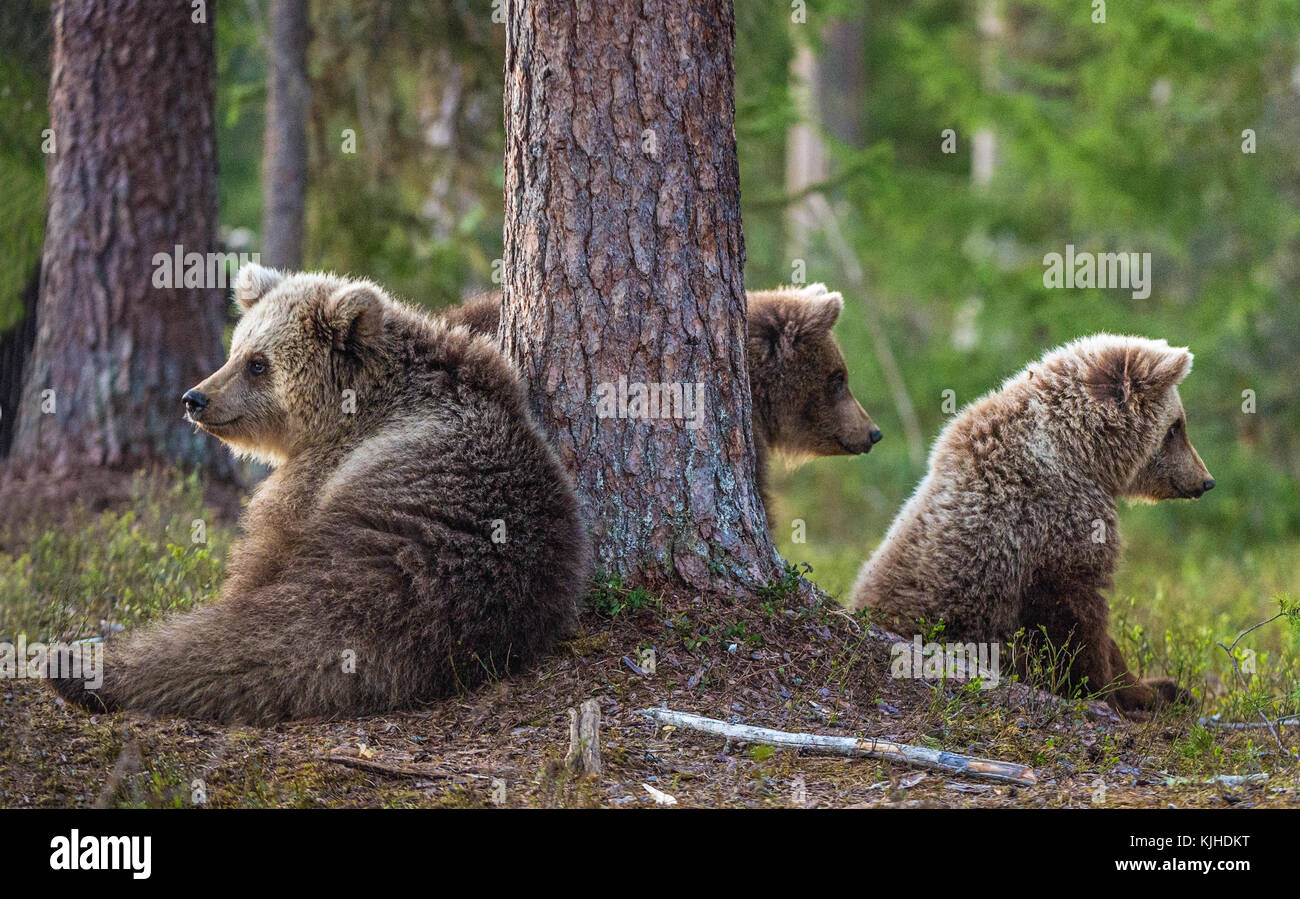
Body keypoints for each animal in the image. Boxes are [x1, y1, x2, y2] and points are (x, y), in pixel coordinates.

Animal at [49, 264, 591, 724]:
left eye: (259, 363)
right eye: (235, 349)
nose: (195, 398)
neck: (354, 407)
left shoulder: (319, 474)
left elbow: (262, 554)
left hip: (391, 537)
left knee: (284, 629)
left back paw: (77, 668)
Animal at [849, 334, 1214, 716]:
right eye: (1176, 427)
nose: (1206, 481)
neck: (1083, 454)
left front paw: (1162, 688)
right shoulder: (1052, 524)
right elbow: (1076, 620)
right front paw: (1116, 693)